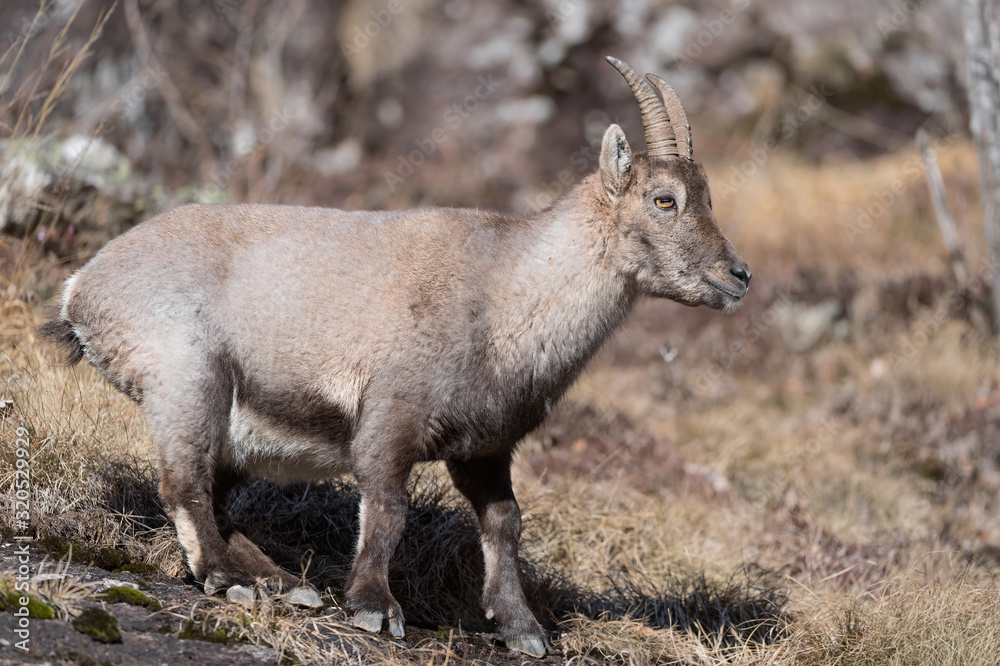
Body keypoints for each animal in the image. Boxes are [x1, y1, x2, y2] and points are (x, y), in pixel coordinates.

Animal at [40, 57, 750, 657]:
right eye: (664, 199)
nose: (738, 276)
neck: (506, 290)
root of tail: (82, 289)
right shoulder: (391, 415)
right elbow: (386, 508)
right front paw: (374, 607)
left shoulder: (485, 447)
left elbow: (505, 522)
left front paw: (520, 626)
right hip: (189, 380)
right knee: (183, 484)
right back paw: (230, 578)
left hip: (238, 426)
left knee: (215, 493)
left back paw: (281, 582)